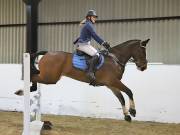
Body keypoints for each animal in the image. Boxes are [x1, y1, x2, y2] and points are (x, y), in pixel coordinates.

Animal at [16, 38, 150, 122]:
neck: (115, 59)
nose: (143, 67)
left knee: (35, 77)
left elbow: (121, 97)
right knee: (33, 77)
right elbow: (129, 91)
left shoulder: (110, 84)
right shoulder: (113, 81)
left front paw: (127, 116)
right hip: (50, 78)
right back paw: (22, 90)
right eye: (143, 51)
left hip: (49, 77)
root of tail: (48, 53)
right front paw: (133, 111)